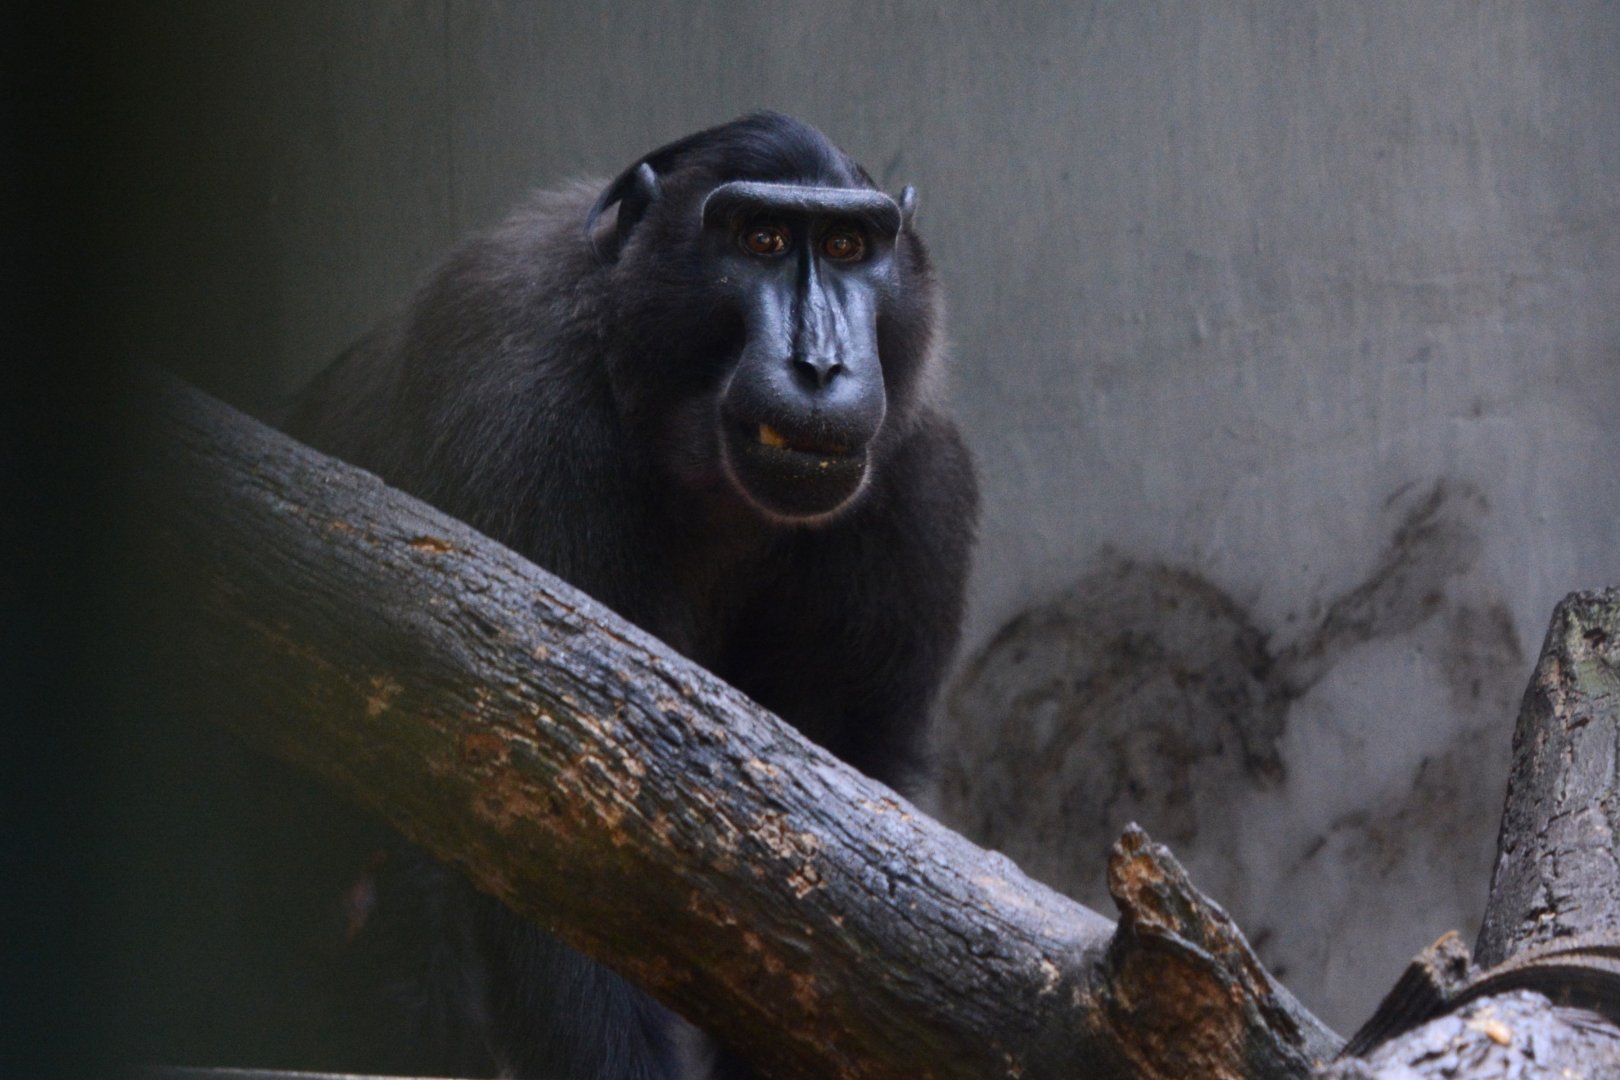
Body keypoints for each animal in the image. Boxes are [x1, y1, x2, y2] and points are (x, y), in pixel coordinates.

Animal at [283, 111, 978, 1079]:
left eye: (847, 245)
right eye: (760, 240)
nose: (820, 363)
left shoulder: (916, 488)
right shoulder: (522, 415)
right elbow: (559, 823)